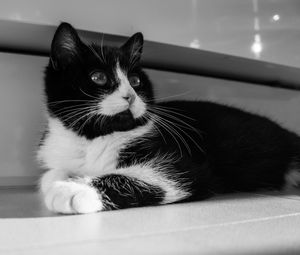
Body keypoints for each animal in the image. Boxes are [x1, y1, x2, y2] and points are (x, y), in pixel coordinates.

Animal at [37, 21, 300, 214]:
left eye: (136, 81)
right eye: (98, 77)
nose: (130, 96)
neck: (92, 137)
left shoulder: (185, 164)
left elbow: (162, 176)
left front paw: (72, 189)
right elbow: (50, 174)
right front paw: (62, 178)